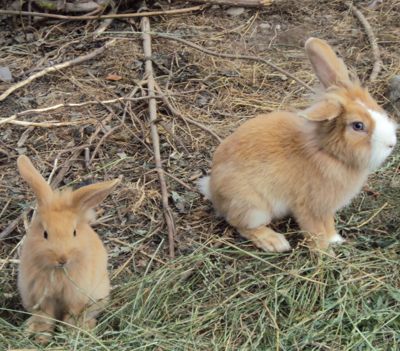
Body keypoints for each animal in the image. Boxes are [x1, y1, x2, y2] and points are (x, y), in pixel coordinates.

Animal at [16, 156, 120, 344]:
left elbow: (72, 314)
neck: (58, 272)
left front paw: (70, 333)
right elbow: (46, 316)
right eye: (45, 233)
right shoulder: (43, 297)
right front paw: (42, 338)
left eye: (74, 232)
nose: (62, 258)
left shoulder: (76, 295)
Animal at [199, 37, 396, 253]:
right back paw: (275, 242)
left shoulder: (325, 209)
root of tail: (212, 188)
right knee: (241, 225)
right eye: (358, 126)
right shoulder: (308, 207)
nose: (391, 144)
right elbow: (316, 231)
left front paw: (335, 240)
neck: (326, 152)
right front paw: (325, 253)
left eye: (375, 106)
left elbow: (328, 225)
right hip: (252, 207)